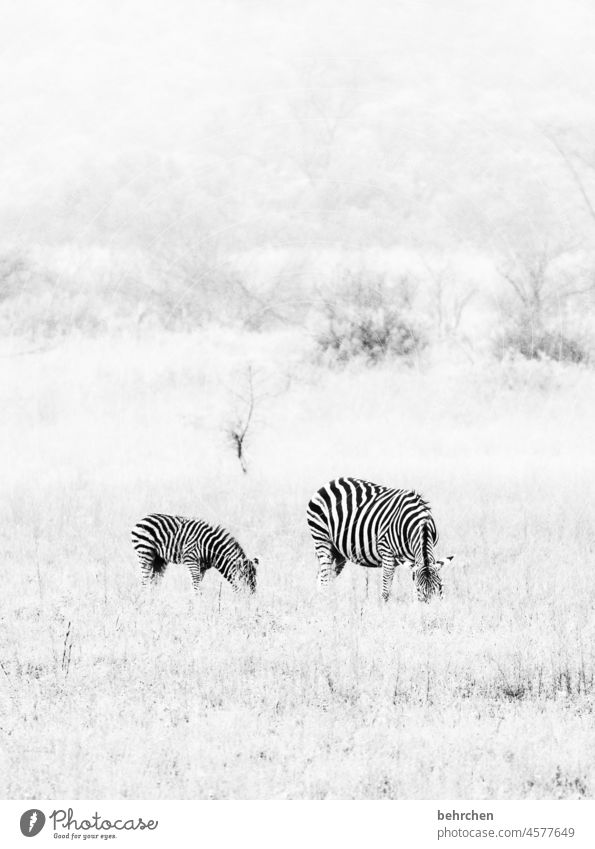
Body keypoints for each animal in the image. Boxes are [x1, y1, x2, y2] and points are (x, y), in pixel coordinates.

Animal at [310, 476, 454, 604]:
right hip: (322, 539)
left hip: (338, 552)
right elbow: (385, 591)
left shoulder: (414, 558)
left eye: (441, 586)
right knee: (323, 580)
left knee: (323, 577)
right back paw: (326, 605)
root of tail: (329, 483)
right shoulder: (387, 553)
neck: (421, 523)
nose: (432, 609)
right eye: (420, 589)